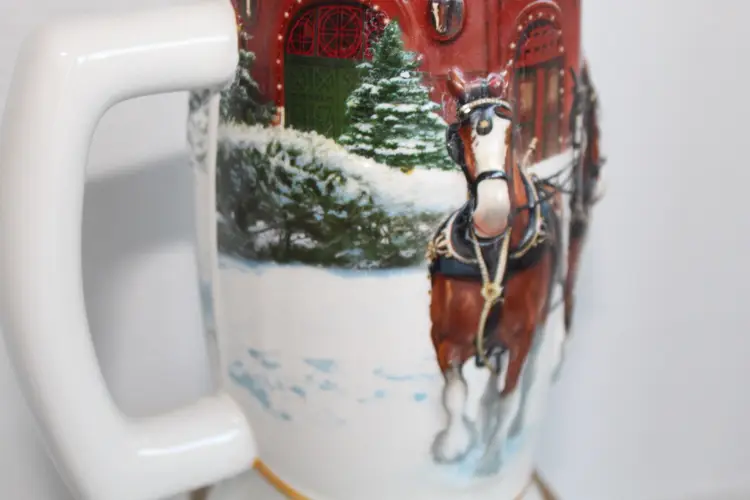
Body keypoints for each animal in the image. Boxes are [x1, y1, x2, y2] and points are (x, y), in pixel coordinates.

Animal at [426, 67, 562, 474]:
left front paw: (490, 457)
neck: (491, 253)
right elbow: (455, 394)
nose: (492, 215)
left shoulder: (520, 340)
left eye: (511, 126)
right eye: (459, 133)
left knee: (527, 382)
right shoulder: (444, 337)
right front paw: (453, 444)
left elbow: (508, 395)